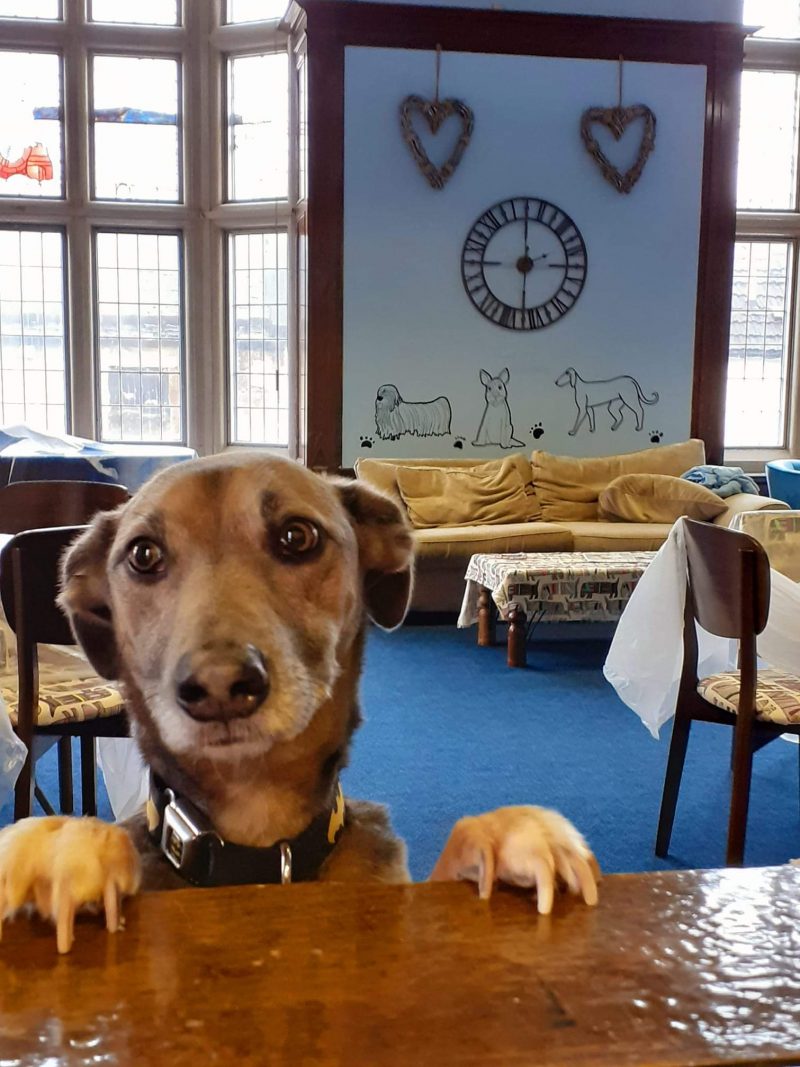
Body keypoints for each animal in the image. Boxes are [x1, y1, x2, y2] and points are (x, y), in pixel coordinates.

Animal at [0, 450, 597, 951]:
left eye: (298, 536)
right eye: (143, 554)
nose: (218, 688)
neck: (263, 835)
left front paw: (510, 839)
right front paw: (63, 852)